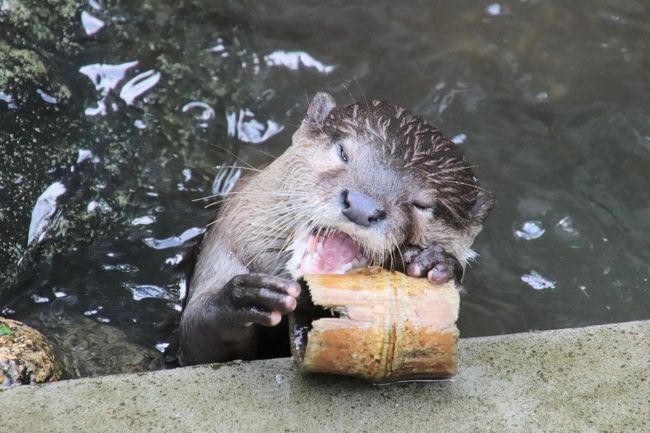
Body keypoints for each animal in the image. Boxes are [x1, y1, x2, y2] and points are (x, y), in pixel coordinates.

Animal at [177, 92, 492, 364]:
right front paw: (247, 297)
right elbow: (195, 342)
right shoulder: (226, 246)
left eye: (424, 205)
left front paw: (437, 263)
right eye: (343, 152)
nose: (362, 206)